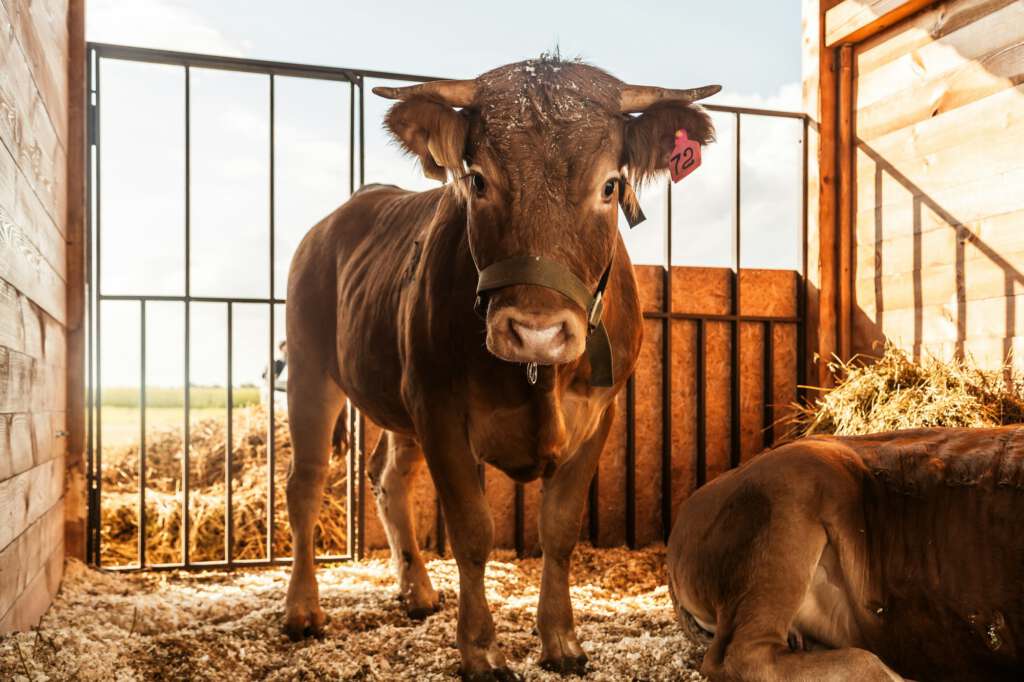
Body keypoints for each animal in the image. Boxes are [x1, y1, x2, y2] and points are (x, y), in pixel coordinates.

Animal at [282, 55, 719, 679]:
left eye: (610, 185)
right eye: (479, 181)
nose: (536, 330)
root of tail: (340, 216)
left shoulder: (597, 417)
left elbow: (559, 530)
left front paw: (561, 640)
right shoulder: (440, 412)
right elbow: (472, 532)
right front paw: (481, 649)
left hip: (399, 400)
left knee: (388, 477)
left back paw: (417, 591)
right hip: (310, 369)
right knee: (306, 483)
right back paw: (302, 610)